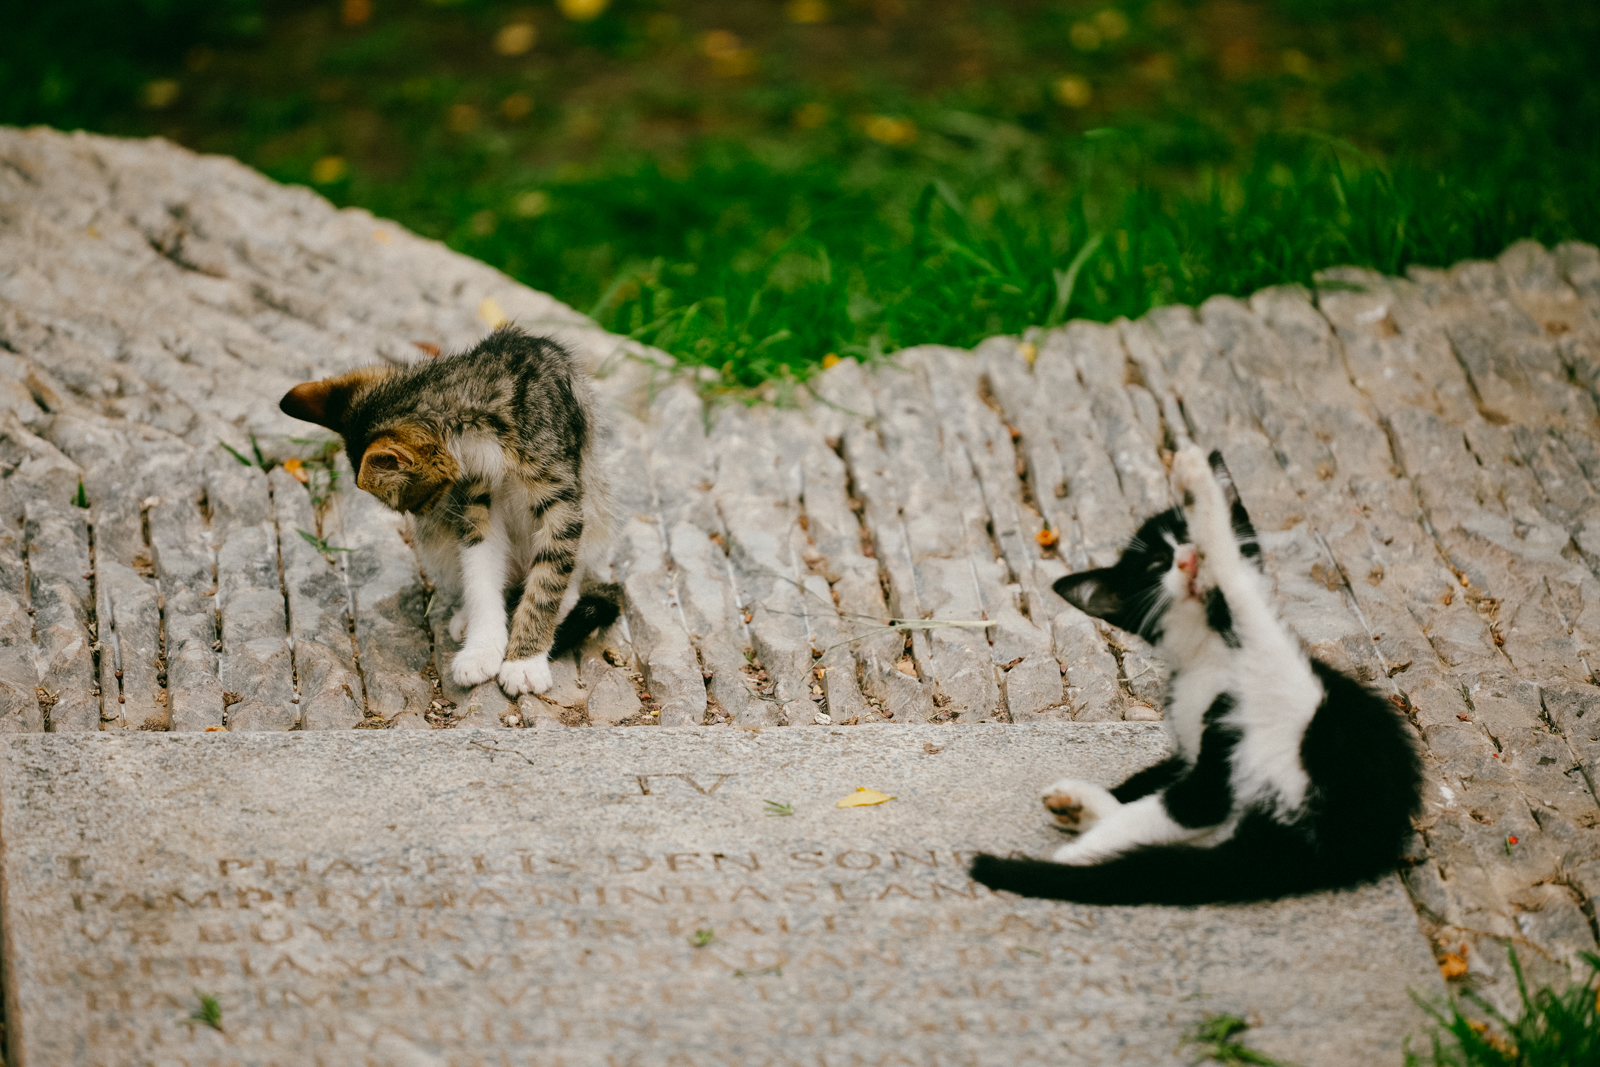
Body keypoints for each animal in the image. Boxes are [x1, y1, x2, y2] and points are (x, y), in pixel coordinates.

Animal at [278, 326, 614, 697]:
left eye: (417, 502)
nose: (422, 514)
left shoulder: (560, 497)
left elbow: (548, 578)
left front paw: (524, 661)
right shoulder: (476, 501)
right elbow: (480, 570)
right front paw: (482, 649)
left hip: (596, 506)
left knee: (569, 567)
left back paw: (565, 603)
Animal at [966, 447, 1420, 908]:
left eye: (1183, 540)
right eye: (1155, 564)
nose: (1188, 558)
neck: (1210, 656)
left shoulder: (1218, 768)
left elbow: (1177, 809)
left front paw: (1075, 855)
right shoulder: (1198, 756)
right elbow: (1164, 800)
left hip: (1299, 713)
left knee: (1243, 596)